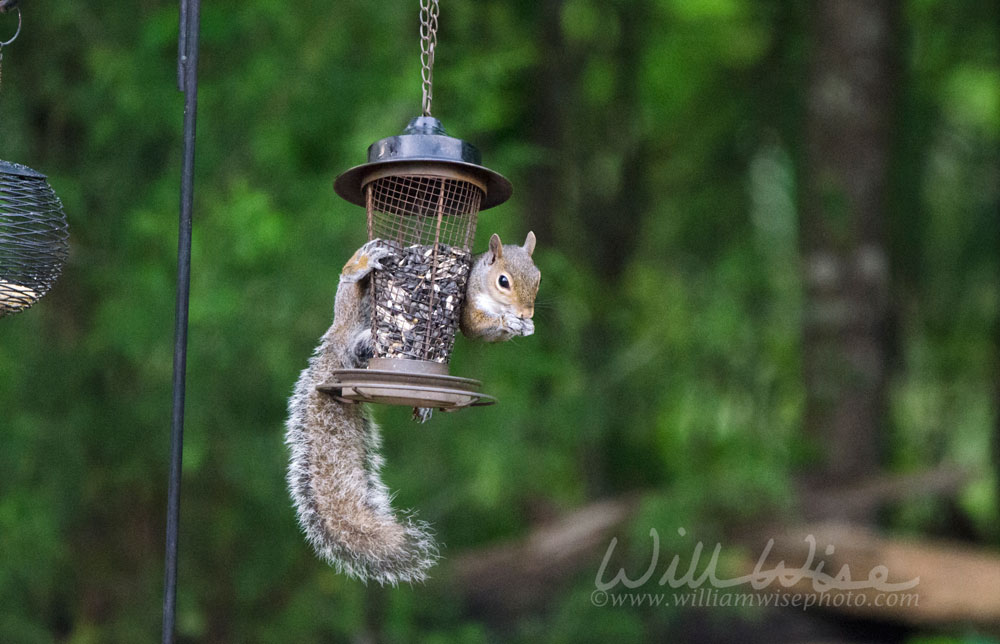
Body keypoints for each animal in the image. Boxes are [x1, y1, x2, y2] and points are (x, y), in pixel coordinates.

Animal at [286, 231, 544, 584]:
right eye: (503, 281)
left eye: (538, 277)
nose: (527, 314)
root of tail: (338, 347)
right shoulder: (467, 307)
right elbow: (476, 323)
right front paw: (509, 320)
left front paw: (523, 327)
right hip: (351, 312)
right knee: (348, 286)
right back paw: (362, 262)